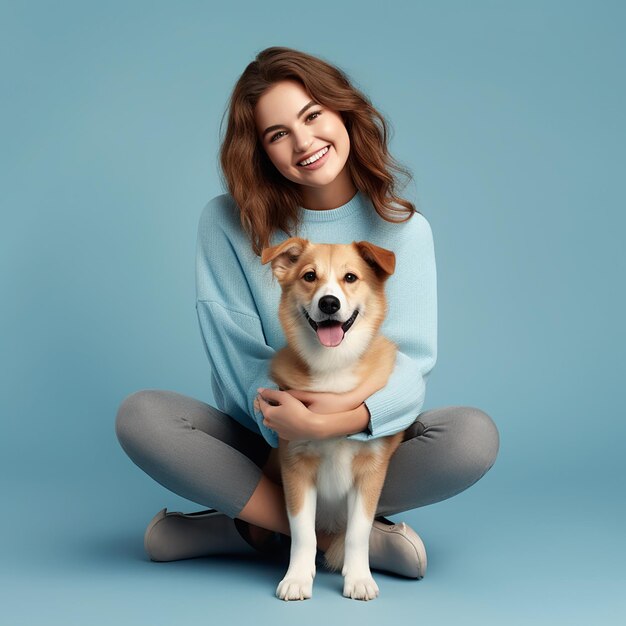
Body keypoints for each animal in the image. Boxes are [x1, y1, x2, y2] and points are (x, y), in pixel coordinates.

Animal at [260, 236, 402, 596]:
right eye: (309, 276)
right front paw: (296, 578)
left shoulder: (370, 473)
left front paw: (359, 579)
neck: (333, 364)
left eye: (350, 277)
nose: (328, 304)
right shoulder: (295, 467)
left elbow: (357, 534)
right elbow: (302, 533)